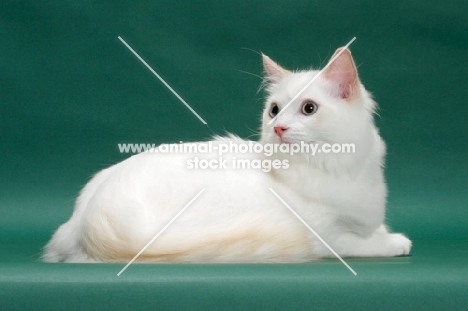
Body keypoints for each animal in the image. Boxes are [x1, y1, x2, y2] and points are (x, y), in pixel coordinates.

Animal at [43, 47, 410, 264]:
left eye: (308, 109)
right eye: (274, 110)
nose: (278, 128)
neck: (334, 168)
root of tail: (90, 219)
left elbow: (372, 229)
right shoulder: (328, 237)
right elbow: (362, 243)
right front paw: (396, 242)